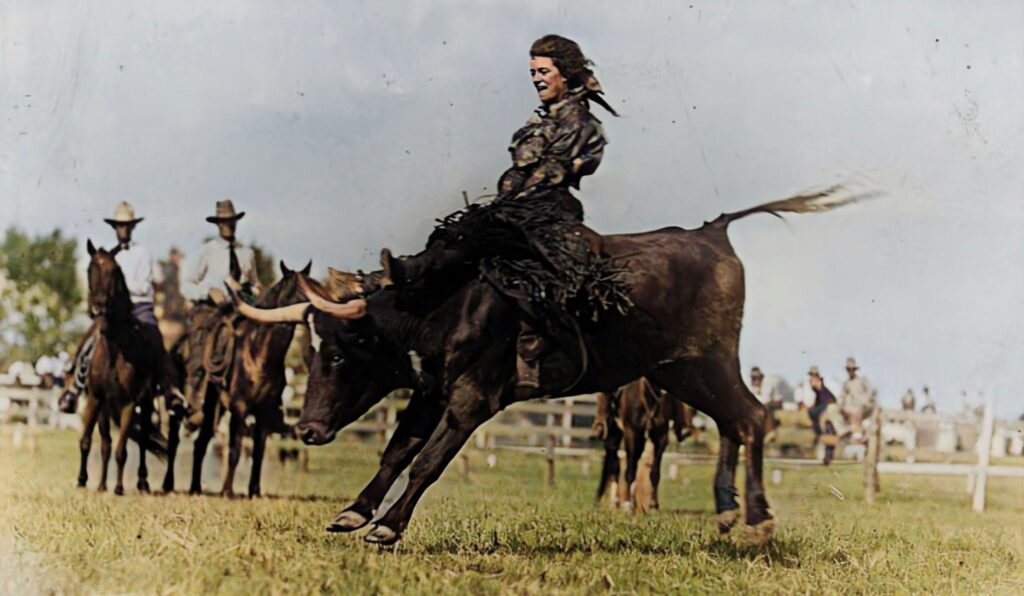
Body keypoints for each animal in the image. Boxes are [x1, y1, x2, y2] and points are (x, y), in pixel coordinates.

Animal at [76, 240, 167, 497]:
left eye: (114, 271)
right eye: (90, 270)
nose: (98, 306)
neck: (115, 349)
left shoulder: (129, 404)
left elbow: (122, 450)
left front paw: (118, 487)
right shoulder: (96, 399)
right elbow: (87, 441)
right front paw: (82, 481)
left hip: (145, 405)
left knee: (143, 441)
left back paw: (142, 482)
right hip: (105, 410)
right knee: (106, 443)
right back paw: (101, 484)